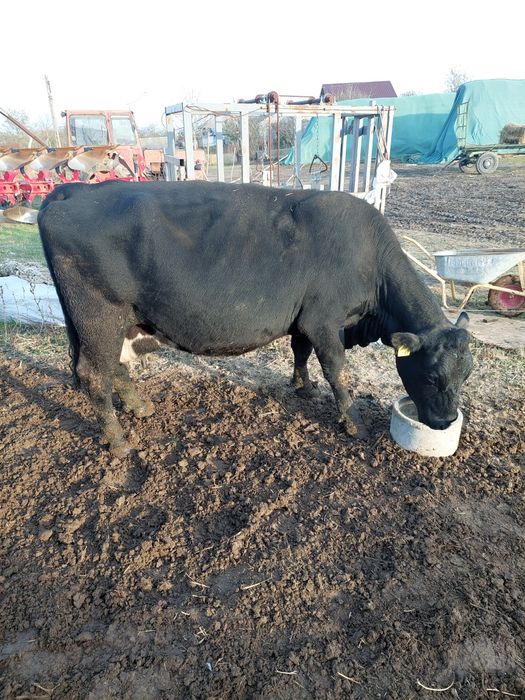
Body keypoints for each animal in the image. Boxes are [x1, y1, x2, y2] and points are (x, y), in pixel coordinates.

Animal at [38, 180, 473, 457]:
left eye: (465, 375)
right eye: (431, 375)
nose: (446, 420)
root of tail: (75, 190)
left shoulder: (305, 317)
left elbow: (300, 352)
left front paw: (302, 387)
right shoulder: (324, 320)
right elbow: (337, 371)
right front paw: (352, 422)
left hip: (117, 321)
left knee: (115, 366)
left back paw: (139, 407)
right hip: (98, 316)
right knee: (95, 374)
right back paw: (118, 442)